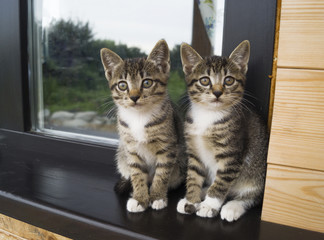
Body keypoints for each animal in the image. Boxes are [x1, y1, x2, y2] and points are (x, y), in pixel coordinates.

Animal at [100, 40, 185, 213]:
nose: (134, 97)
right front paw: (139, 197)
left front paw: (157, 196)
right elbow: (137, 173)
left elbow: (162, 174)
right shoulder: (131, 149)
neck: (139, 117)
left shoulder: (168, 148)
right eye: (122, 85)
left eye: (147, 82)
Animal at [177, 39, 268, 221]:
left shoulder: (231, 155)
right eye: (205, 80)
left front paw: (209, 205)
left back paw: (232, 207)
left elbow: (221, 183)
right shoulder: (194, 152)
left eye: (229, 80)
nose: (218, 92)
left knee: (251, 197)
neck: (208, 115)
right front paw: (190, 200)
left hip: (257, 176)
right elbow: (193, 176)